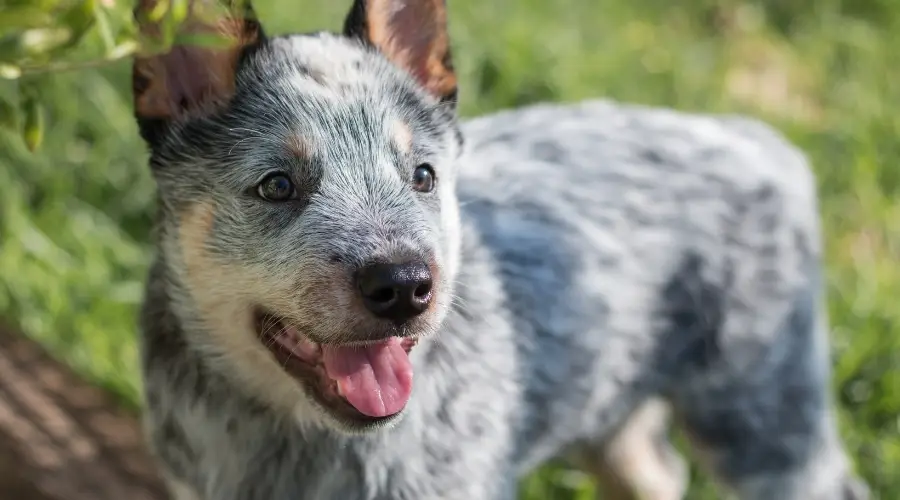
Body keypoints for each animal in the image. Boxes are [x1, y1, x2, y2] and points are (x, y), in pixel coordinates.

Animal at [132, 0, 872, 498]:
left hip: (767, 415)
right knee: (658, 473)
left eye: (423, 176)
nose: (405, 285)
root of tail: (752, 135)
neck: (290, 438)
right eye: (278, 185)